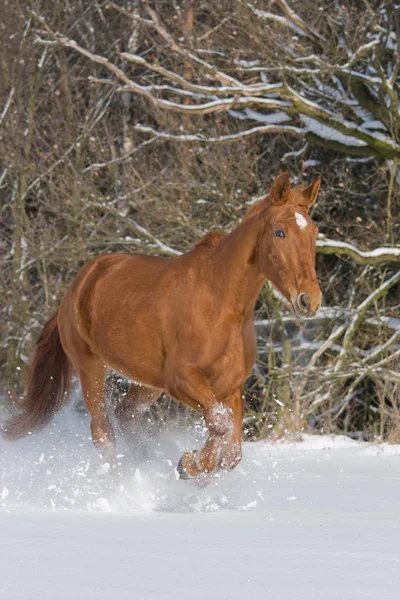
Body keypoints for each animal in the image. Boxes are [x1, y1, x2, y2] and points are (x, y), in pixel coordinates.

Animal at [2, 172, 322, 478]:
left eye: (314, 232)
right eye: (279, 232)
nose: (310, 300)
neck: (221, 306)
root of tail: (75, 289)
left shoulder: (229, 386)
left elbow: (230, 449)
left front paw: (196, 467)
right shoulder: (180, 379)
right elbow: (219, 423)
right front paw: (190, 465)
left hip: (147, 381)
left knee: (127, 415)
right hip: (90, 367)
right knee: (103, 433)